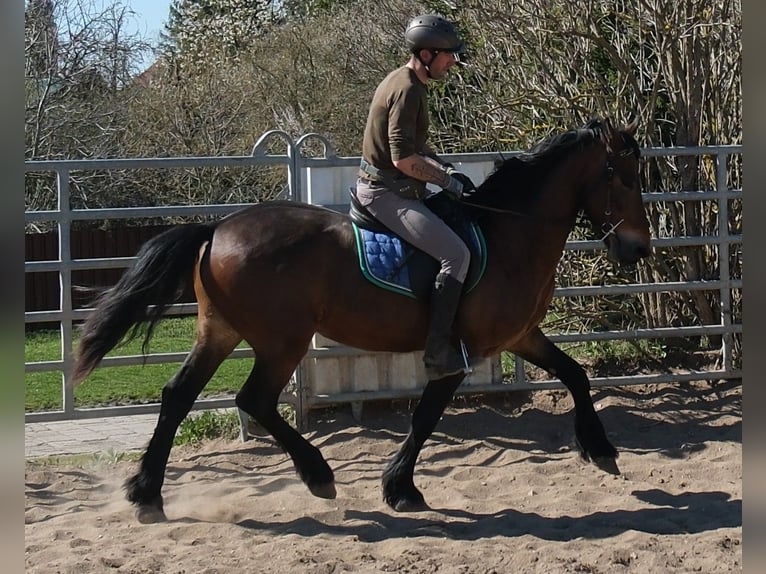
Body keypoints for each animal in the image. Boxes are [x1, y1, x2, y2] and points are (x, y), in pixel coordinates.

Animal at [72, 117, 651, 523]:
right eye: (623, 178)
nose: (637, 249)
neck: (509, 235)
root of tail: (217, 229)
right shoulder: (458, 352)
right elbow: (425, 418)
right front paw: (400, 487)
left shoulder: (521, 337)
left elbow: (575, 375)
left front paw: (601, 449)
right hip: (282, 342)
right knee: (253, 400)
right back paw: (317, 475)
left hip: (220, 333)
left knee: (177, 396)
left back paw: (147, 495)